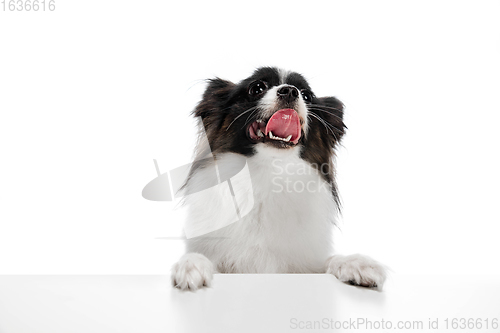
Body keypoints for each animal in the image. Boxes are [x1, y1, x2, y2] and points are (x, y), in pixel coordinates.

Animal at [172, 68, 386, 290]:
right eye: (257, 88)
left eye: (307, 96)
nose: (290, 91)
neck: (268, 171)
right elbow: (203, 258)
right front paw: (191, 264)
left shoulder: (305, 263)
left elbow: (330, 260)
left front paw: (356, 263)